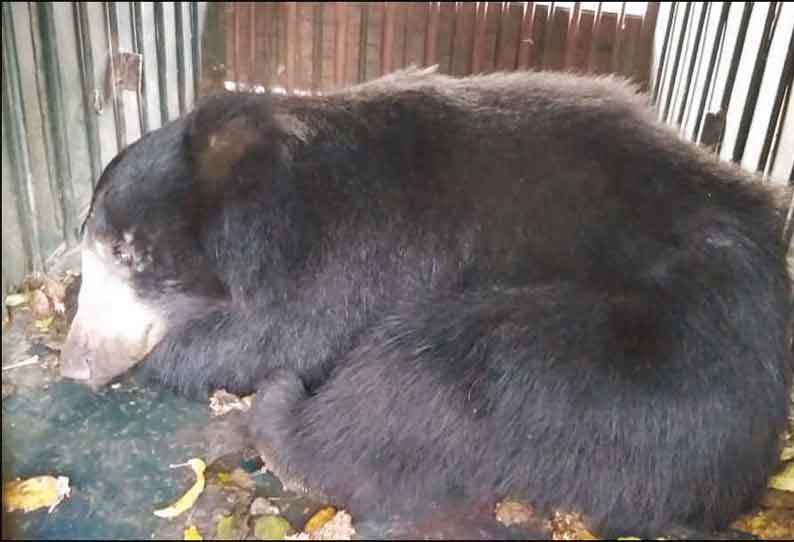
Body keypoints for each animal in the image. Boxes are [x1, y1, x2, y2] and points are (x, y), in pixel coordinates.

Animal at [58, 69, 788, 540]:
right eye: (90, 247)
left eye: (128, 252)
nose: (74, 363)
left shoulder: (351, 247)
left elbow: (286, 330)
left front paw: (189, 360)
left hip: (634, 359)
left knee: (434, 379)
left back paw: (282, 416)